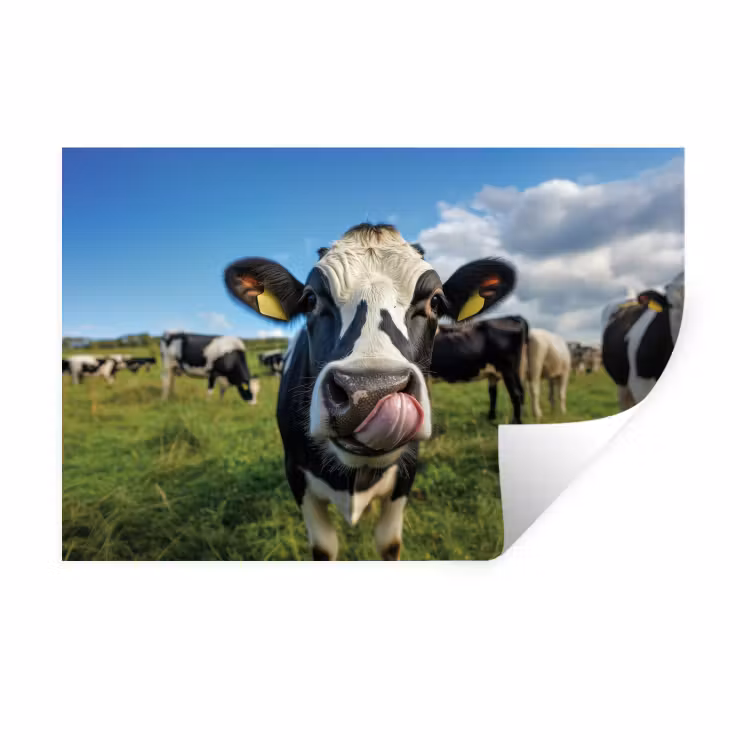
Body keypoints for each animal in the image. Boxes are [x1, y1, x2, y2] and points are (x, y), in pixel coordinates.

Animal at [224, 222, 516, 560]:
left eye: (436, 301)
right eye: (310, 300)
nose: (370, 393)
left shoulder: (406, 474)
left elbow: (389, 544)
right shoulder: (296, 475)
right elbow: (323, 547)